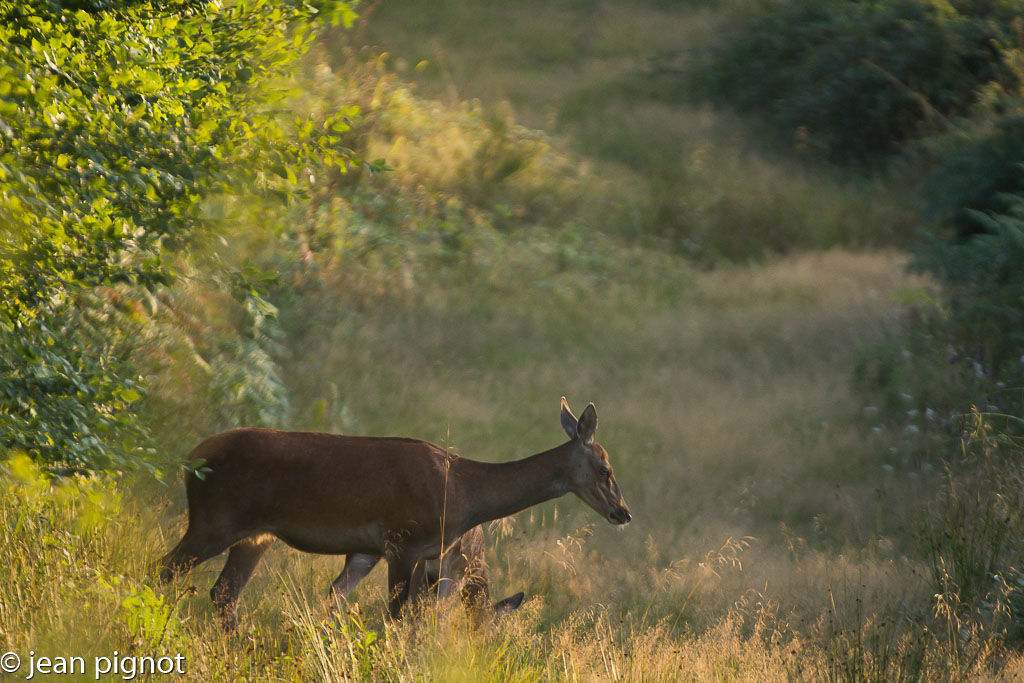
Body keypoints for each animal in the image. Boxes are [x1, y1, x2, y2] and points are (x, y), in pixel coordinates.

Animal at [158, 395, 626, 630]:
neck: (466, 496)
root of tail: (191, 458)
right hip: (214, 519)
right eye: (606, 469)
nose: (623, 513)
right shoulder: (404, 541)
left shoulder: (381, 550)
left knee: (224, 593)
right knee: (165, 569)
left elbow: (348, 602)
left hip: (255, 535)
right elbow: (399, 616)